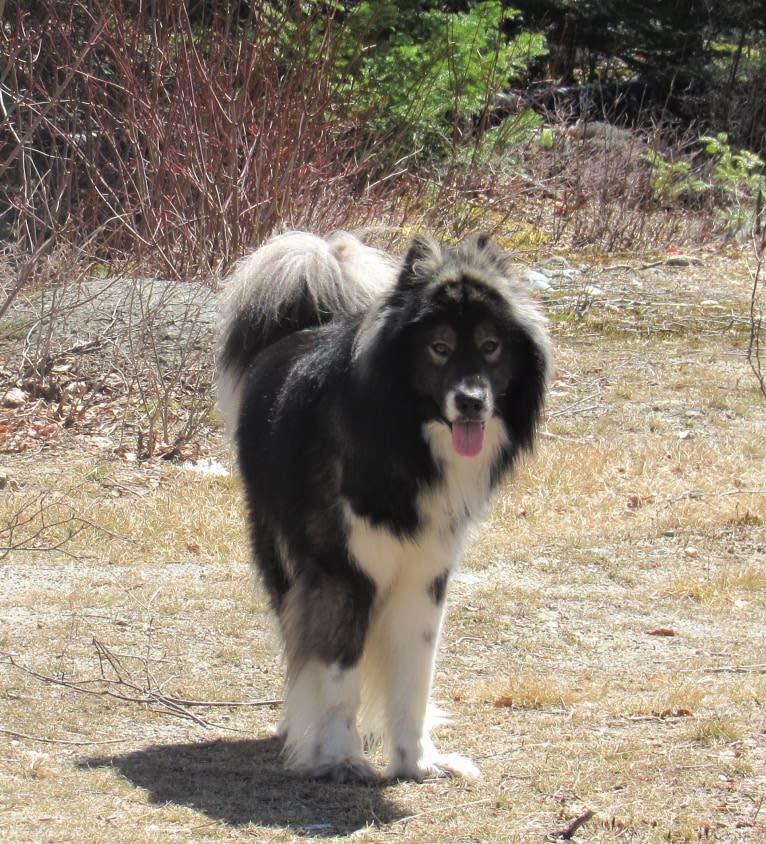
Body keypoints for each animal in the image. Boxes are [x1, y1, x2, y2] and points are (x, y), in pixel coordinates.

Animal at [216, 231, 552, 784]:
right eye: (438, 349)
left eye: (491, 347)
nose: (471, 402)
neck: (405, 443)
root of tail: (303, 325)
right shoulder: (341, 575)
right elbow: (339, 673)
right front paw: (339, 757)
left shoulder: (424, 579)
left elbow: (414, 677)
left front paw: (417, 760)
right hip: (280, 558)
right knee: (294, 640)